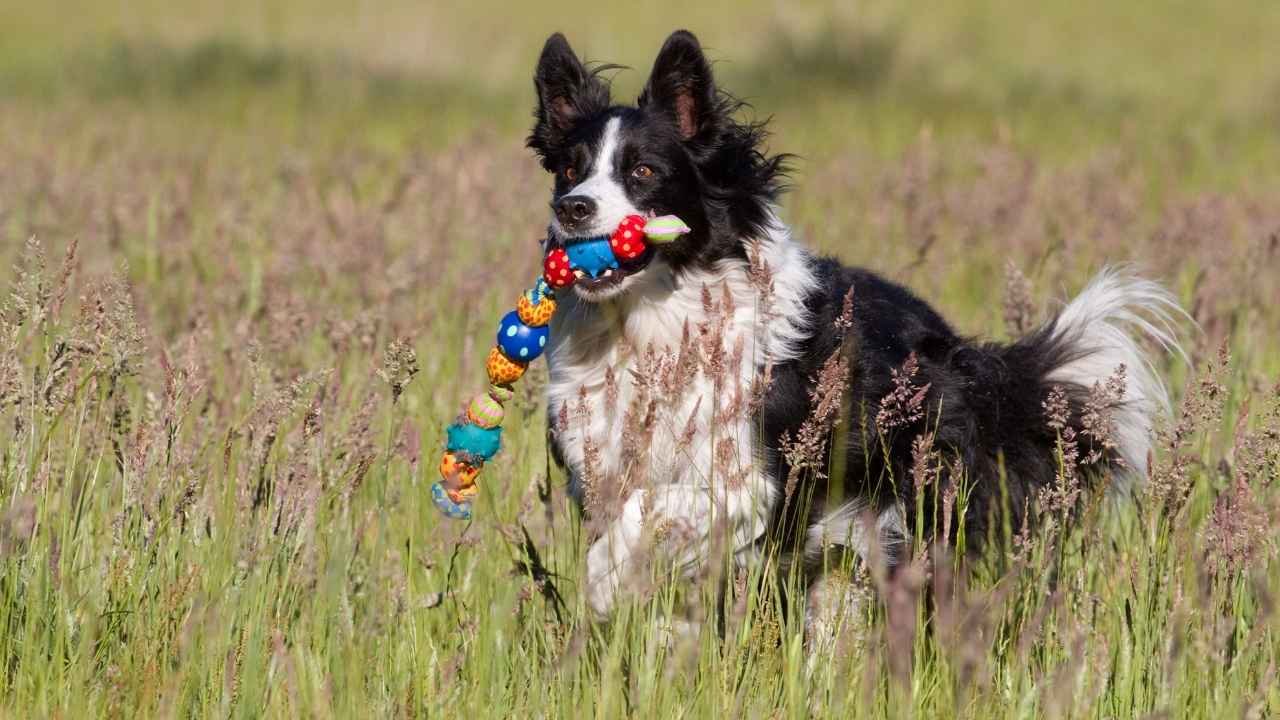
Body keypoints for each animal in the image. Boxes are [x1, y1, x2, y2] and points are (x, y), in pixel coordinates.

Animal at [524, 30, 1182, 630]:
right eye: (569, 171)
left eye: (642, 171)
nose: (573, 209)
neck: (649, 323)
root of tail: (977, 364)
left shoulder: (753, 480)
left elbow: (645, 515)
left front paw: (603, 585)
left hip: (906, 512)